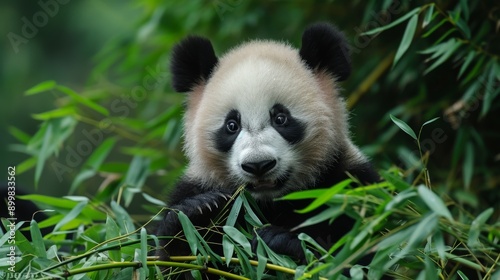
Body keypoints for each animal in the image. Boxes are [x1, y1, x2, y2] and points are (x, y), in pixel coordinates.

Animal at [156, 23, 378, 272]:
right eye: (232, 125)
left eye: (281, 118)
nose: (258, 165)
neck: (269, 202)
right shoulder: (197, 186)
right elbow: (179, 262)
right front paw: (199, 211)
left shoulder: (349, 185)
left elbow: (360, 256)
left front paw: (278, 241)